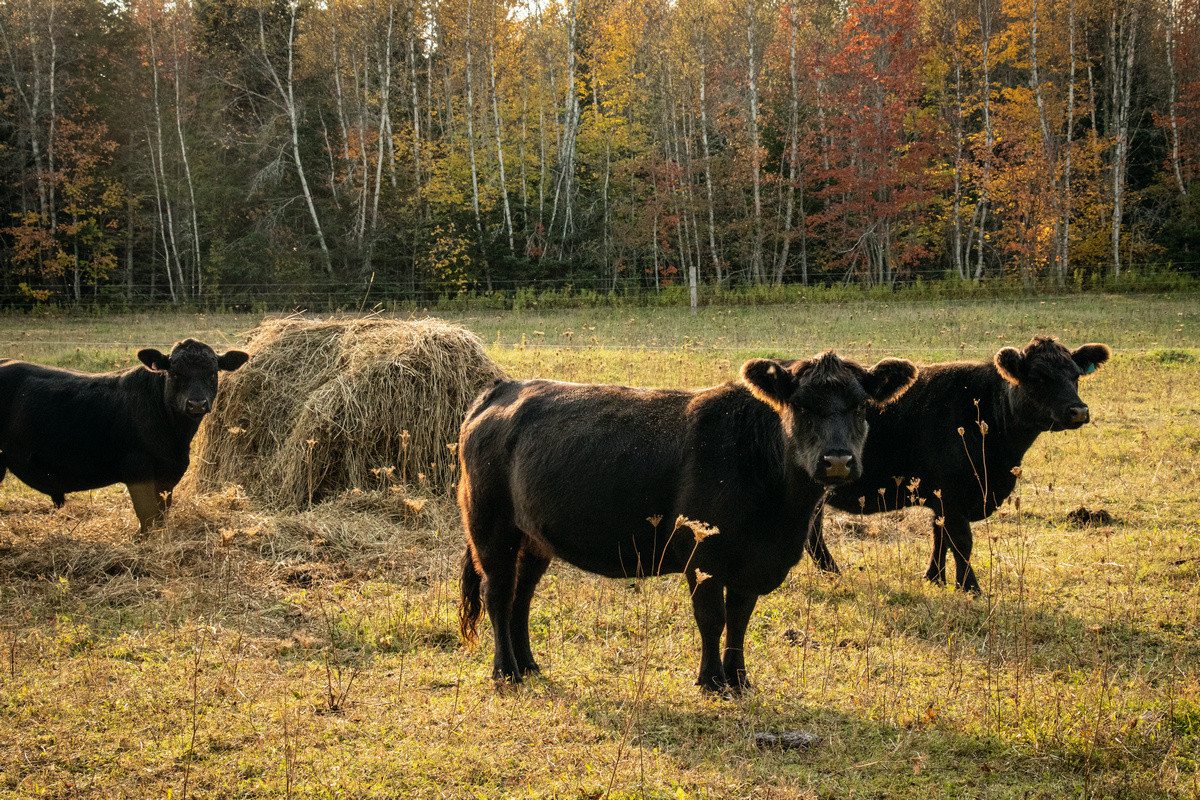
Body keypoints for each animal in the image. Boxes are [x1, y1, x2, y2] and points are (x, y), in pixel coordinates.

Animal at [0, 338, 248, 532]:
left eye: (212, 373)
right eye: (175, 373)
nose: (196, 404)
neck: (176, 438)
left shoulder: (169, 473)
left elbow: (161, 513)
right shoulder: (136, 468)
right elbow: (147, 515)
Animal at [453, 352, 912, 690]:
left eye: (862, 406)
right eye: (800, 405)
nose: (837, 460)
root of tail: (503, 388)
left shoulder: (752, 562)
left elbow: (740, 618)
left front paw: (739, 680)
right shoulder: (702, 554)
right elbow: (712, 617)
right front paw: (711, 681)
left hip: (533, 538)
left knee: (521, 597)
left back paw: (529, 665)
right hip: (490, 527)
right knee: (498, 593)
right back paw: (506, 672)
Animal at [811, 335, 1108, 594]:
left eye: (1075, 376)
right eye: (1038, 377)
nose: (1079, 411)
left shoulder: (942, 497)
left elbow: (940, 536)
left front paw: (934, 578)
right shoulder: (951, 493)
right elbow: (961, 541)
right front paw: (970, 587)